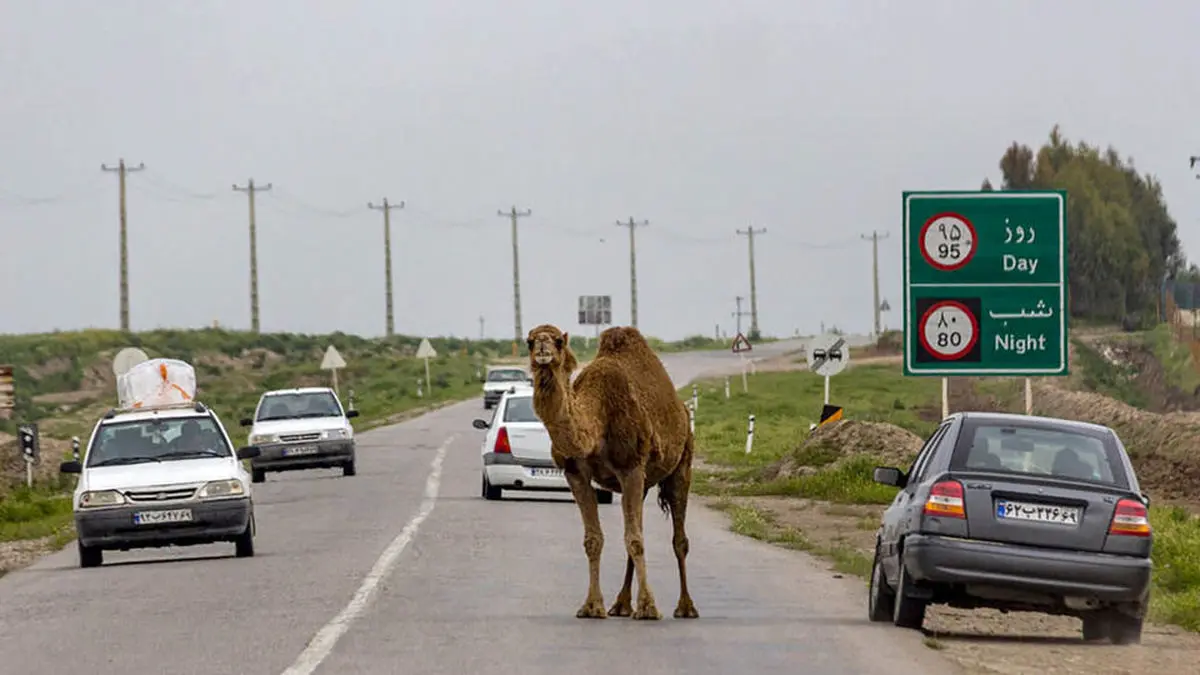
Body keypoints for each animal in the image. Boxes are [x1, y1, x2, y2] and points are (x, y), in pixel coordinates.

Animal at [523, 324, 696, 619]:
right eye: (530, 340)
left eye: (557, 340)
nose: (543, 348)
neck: (596, 424)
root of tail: (683, 409)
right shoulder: (575, 473)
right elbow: (594, 539)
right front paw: (592, 606)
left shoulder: (631, 468)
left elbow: (635, 540)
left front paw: (649, 608)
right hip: (645, 482)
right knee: (636, 530)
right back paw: (622, 604)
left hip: (682, 461)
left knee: (678, 538)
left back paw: (686, 607)